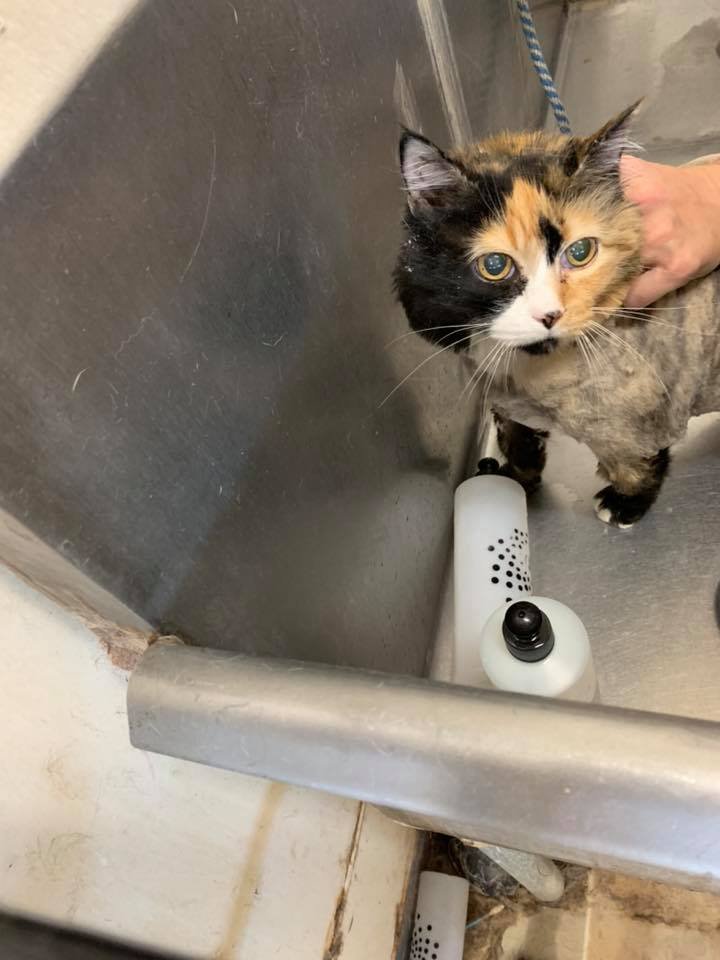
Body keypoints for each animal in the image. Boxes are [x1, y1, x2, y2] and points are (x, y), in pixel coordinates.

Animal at [394, 103, 720, 527]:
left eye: (580, 252)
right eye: (495, 265)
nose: (549, 314)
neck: (527, 370)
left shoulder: (638, 404)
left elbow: (633, 458)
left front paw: (625, 502)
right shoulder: (507, 403)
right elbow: (517, 443)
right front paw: (512, 482)